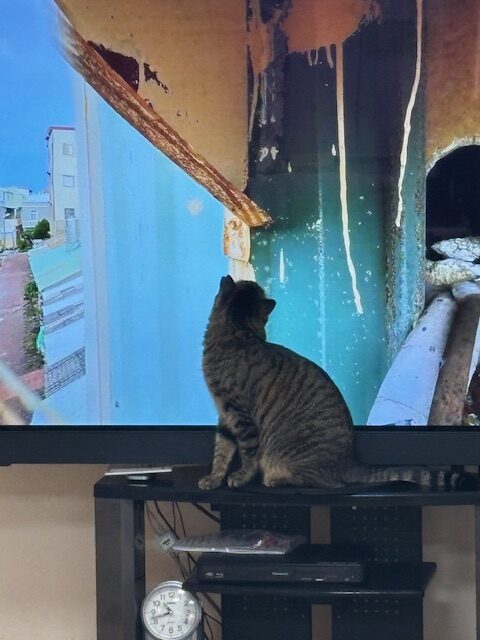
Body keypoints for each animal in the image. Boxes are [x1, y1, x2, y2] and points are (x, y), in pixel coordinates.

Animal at [198, 275, 471, 491]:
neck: (238, 333)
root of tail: (350, 461)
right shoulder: (225, 415)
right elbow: (221, 451)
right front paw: (213, 479)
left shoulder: (240, 416)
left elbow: (247, 454)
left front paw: (240, 477)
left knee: (324, 482)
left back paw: (277, 480)